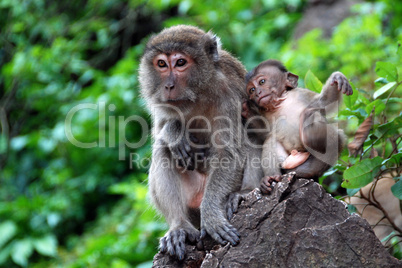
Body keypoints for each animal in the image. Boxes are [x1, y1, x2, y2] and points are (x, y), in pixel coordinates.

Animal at [137, 25, 260, 260]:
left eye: (180, 62)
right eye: (161, 64)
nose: (168, 85)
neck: (197, 95)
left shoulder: (228, 95)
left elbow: (227, 153)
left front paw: (211, 215)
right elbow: (160, 131)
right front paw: (175, 131)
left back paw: (243, 193)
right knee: (163, 150)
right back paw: (179, 227)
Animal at [242, 59, 352, 193]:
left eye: (262, 82)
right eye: (251, 90)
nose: (257, 93)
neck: (280, 102)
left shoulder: (302, 93)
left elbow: (323, 102)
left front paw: (337, 78)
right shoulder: (263, 112)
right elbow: (265, 132)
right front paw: (247, 111)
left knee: (335, 137)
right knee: (271, 140)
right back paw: (271, 178)